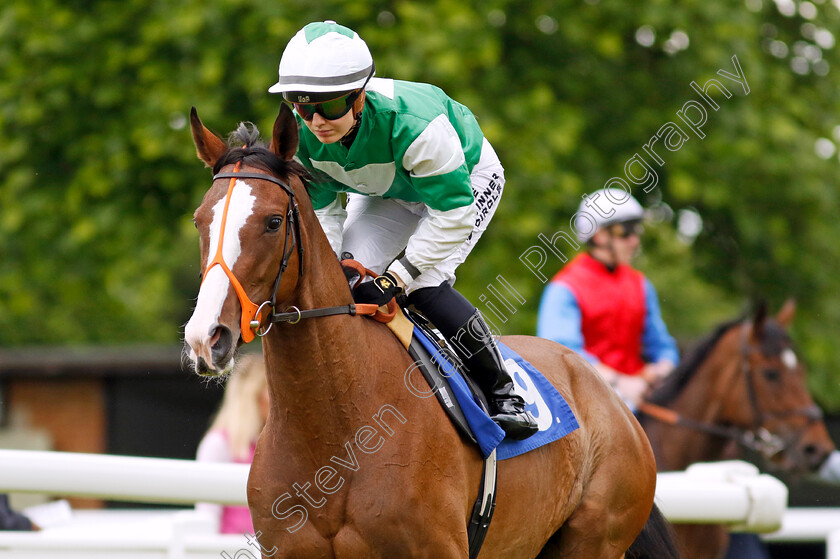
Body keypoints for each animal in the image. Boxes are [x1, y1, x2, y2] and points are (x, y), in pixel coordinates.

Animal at [182, 103, 676, 556]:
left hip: (593, 538)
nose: (207, 337)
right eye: (199, 219)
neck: (337, 431)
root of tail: (609, 393)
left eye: (272, 221)